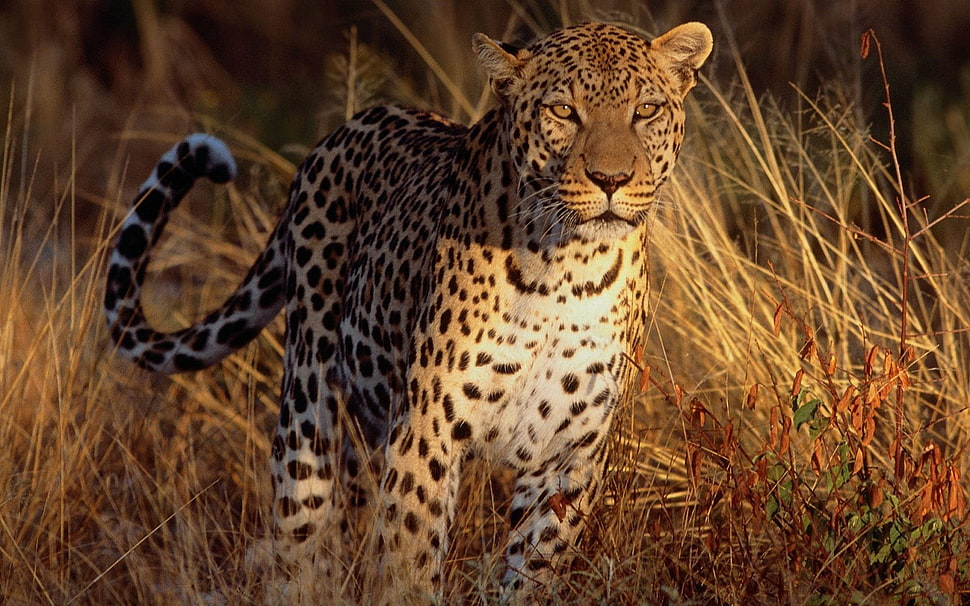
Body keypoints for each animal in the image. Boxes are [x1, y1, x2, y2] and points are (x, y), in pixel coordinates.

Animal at [104, 21, 712, 601]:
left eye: (646, 111)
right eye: (563, 111)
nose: (611, 180)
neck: (569, 271)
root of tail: (345, 128)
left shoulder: (568, 455)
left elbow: (531, 575)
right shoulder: (426, 428)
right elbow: (409, 562)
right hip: (308, 400)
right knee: (299, 534)